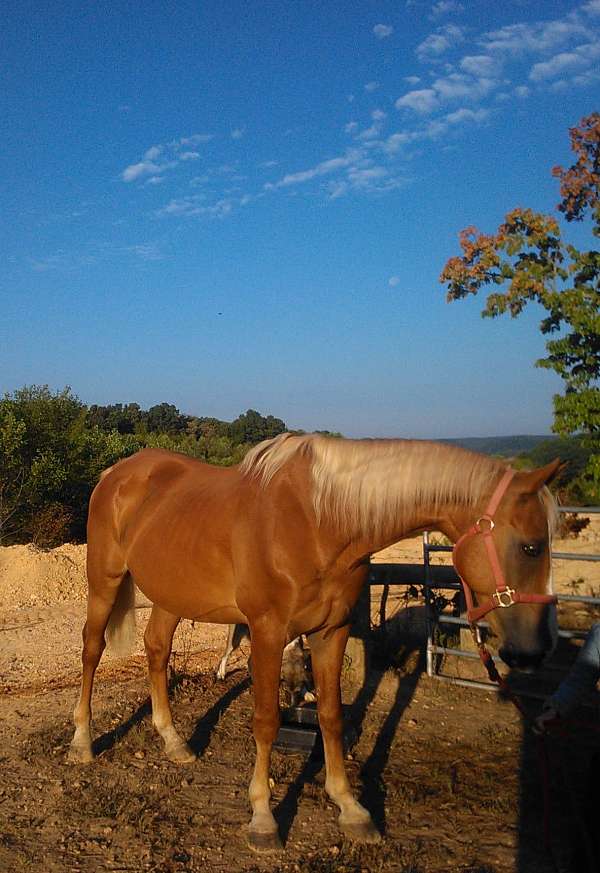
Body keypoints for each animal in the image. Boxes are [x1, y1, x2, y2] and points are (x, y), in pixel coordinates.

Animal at [70, 436, 564, 852]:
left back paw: (173, 742)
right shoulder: (268, 633)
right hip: (104, 581)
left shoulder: (332, 632)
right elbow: (266, 720)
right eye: (531, 547)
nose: (535, 650)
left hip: (172, 593)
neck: (317, 522)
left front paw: (350, 808)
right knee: (91, 650)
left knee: (156, 649)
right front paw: (263, 818)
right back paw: (82, 741)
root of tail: (117, 473)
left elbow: (330, 716)